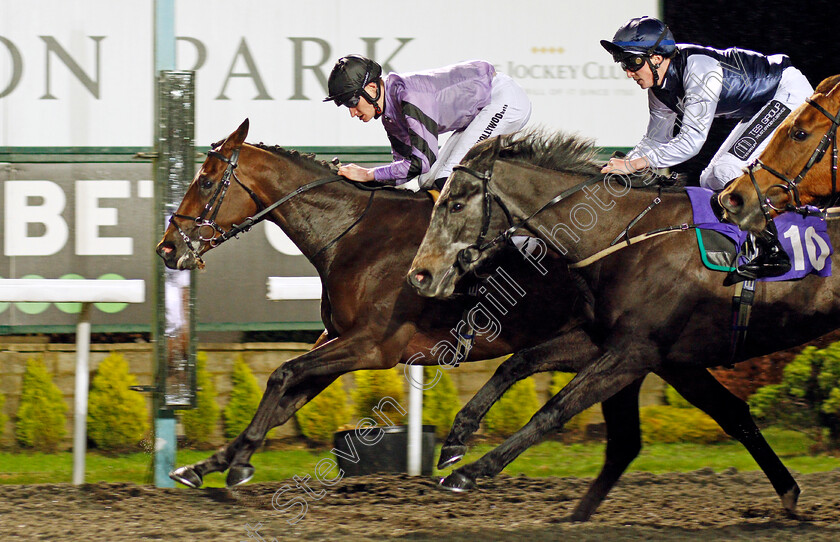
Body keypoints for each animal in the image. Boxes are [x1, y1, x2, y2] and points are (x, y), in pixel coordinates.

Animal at [158, 121, 796, 524]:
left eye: (208, 180)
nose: (167, 248)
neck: (354, 237)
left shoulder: (370, 346)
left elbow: (283, 374)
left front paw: (235, 465)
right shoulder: (341, 343)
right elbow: (285, 391)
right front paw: (208, 464)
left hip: (641, 348)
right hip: (652, 353)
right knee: (728, 413)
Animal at [408, 130, 840, 520]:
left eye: (456, 204)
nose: (419, 276)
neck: (623, 238)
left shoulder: (633, 353)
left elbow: (554, 409)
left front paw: (472, 470)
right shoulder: (609, 342)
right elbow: (517, 363)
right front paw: (455, 441)